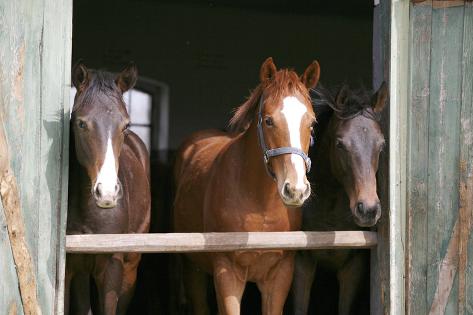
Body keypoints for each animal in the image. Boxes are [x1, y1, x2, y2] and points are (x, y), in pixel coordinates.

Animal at [65, 62, 150, 315]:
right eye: (81, 123)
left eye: (126, 125)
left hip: (130, 267)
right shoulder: (69, 267)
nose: (107, 193)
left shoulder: (112, 266)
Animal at [173, 57, 320, 315]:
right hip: (192, 268)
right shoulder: (227, 273)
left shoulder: (280, 275)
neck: (260, 207)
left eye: (311, 123)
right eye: (269, 121)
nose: (296, 190)